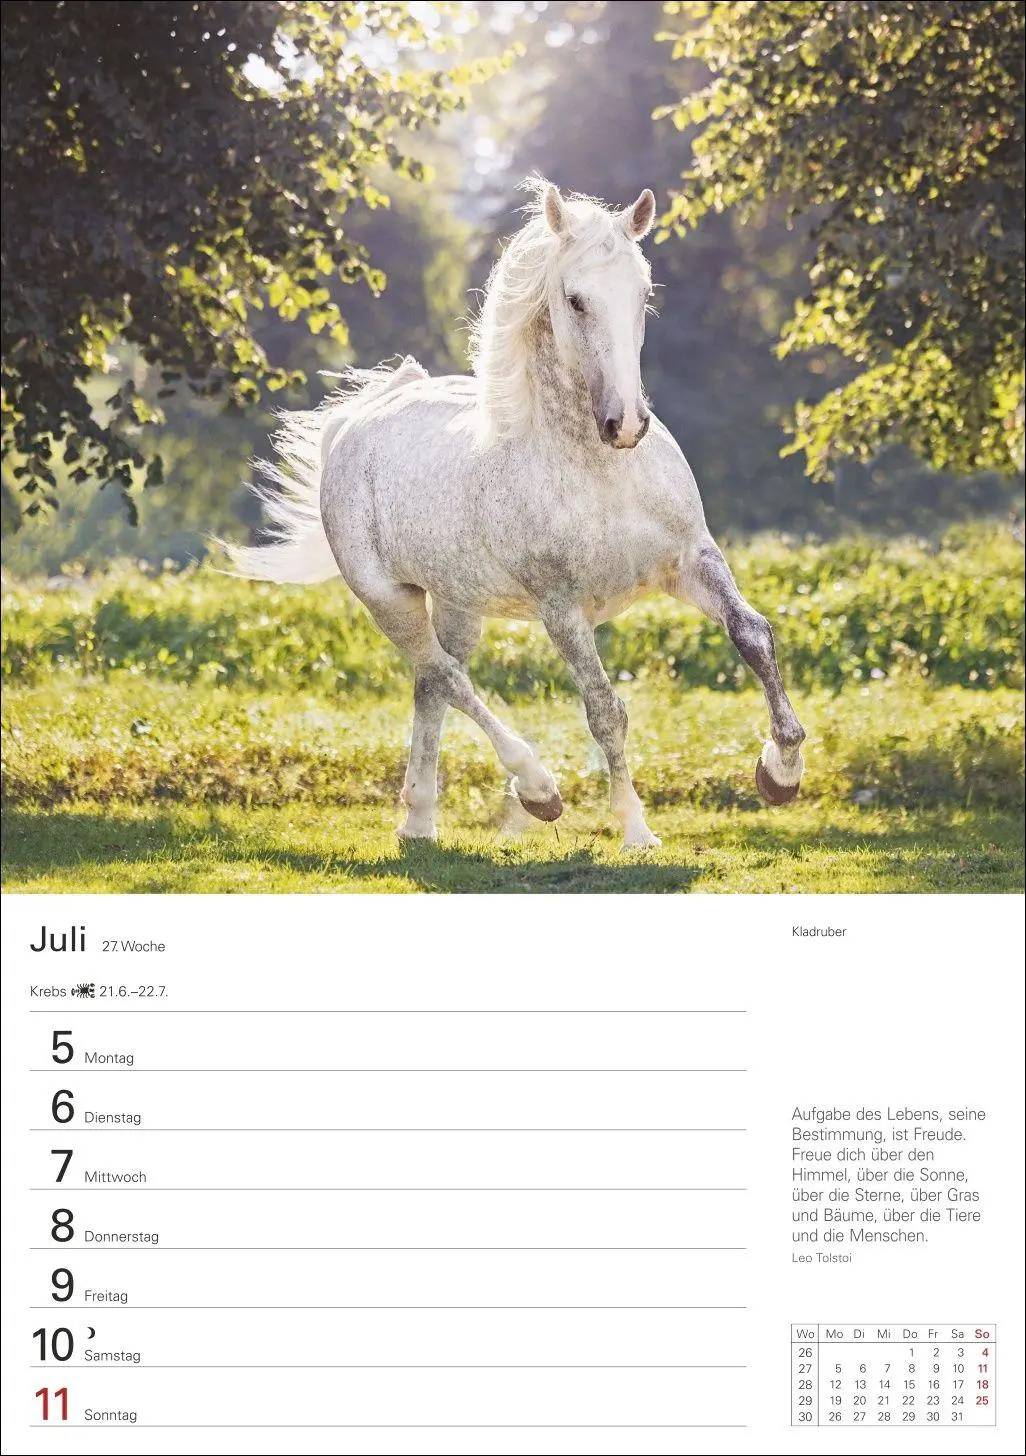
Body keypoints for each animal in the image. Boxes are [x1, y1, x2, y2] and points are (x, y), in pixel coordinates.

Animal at [227, 178, 806, 849]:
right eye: (576, 300)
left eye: (643, 293)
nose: (626, 424)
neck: (601, 475)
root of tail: (354, 421)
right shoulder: (561, 609)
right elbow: (605, 710)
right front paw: (636, 829)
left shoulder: (691, 561)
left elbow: (753, 635)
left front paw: (781, 772)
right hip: (388, 599)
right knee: (447, 676)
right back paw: (536, 789)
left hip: (457, 602)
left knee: (432, 685)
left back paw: (419, 822)